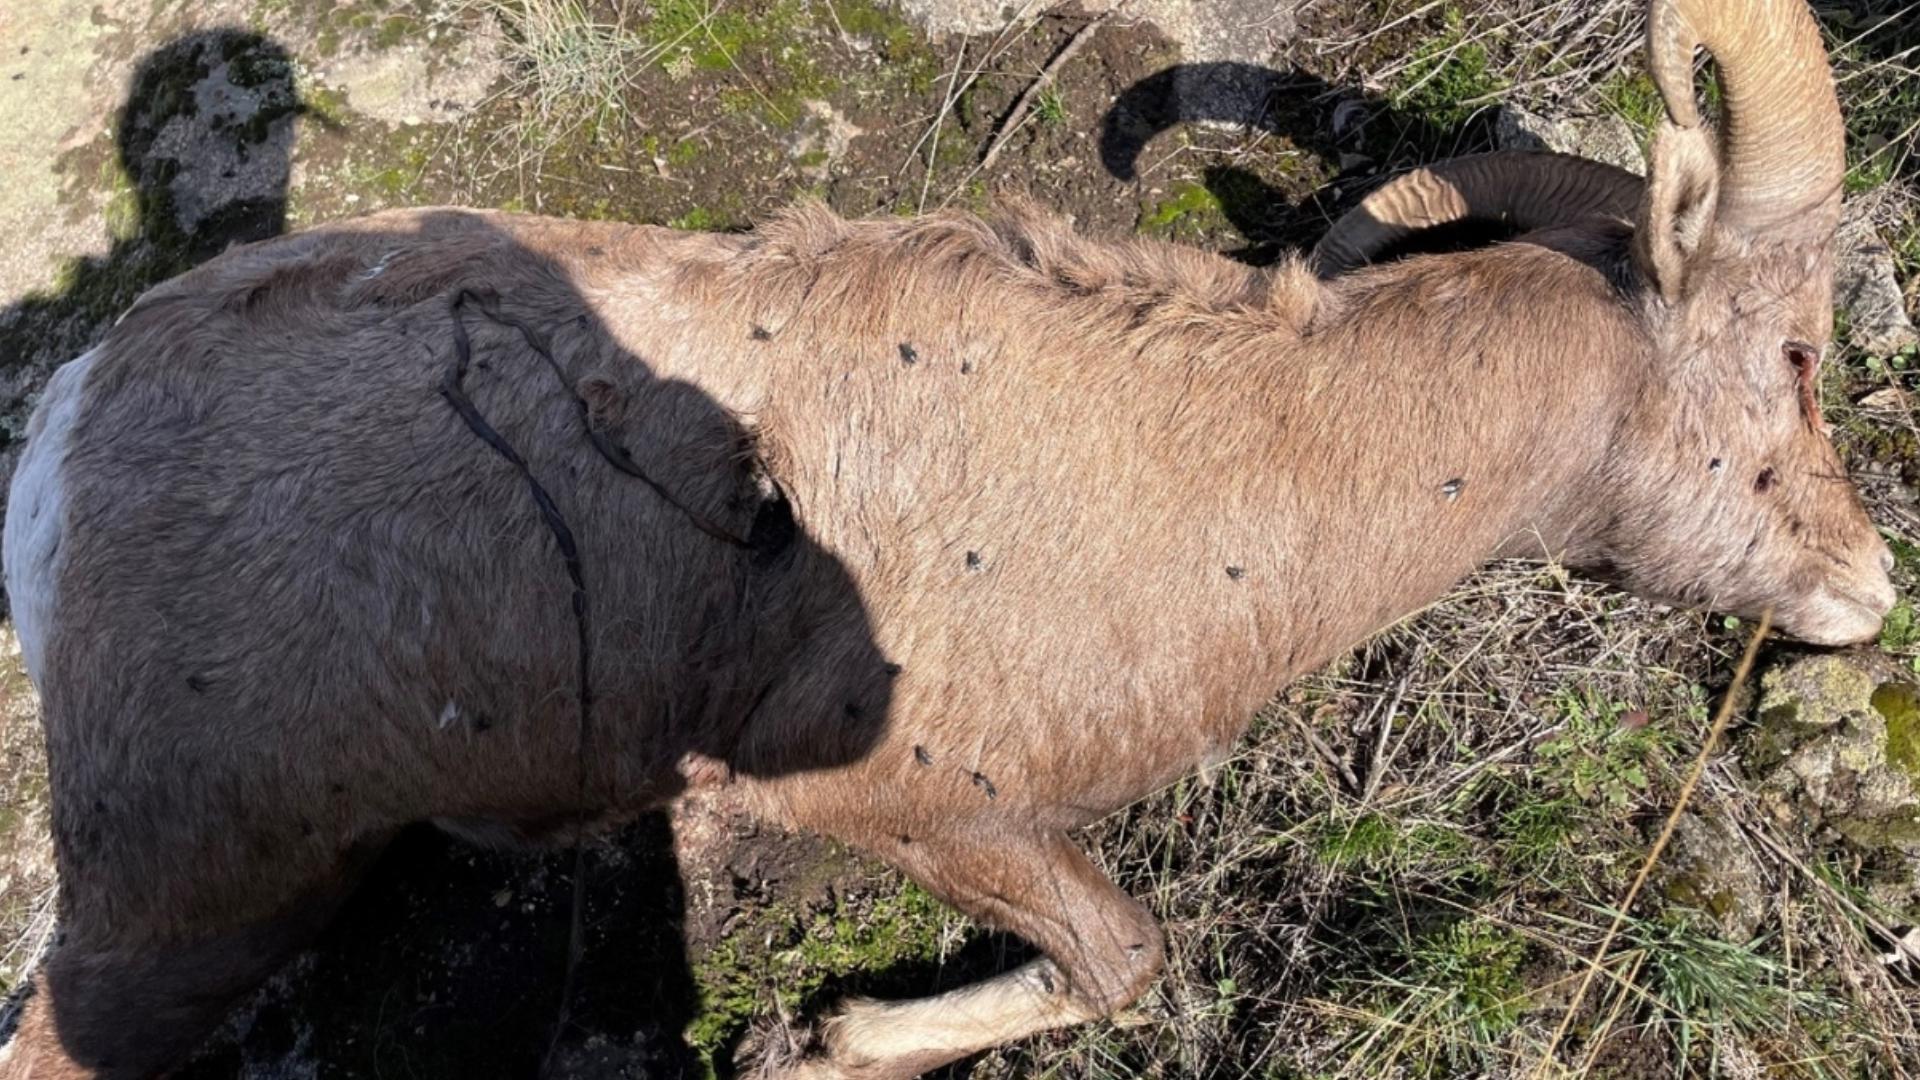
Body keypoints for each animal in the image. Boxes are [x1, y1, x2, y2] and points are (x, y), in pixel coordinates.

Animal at [0, 0, 1895, 1075]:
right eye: (1799, 357)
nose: (1867, 587)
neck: (1252, 468)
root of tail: (68, 439)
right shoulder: (905, 802)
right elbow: (1122, 960)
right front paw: (827, 1043)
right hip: (182, 910)